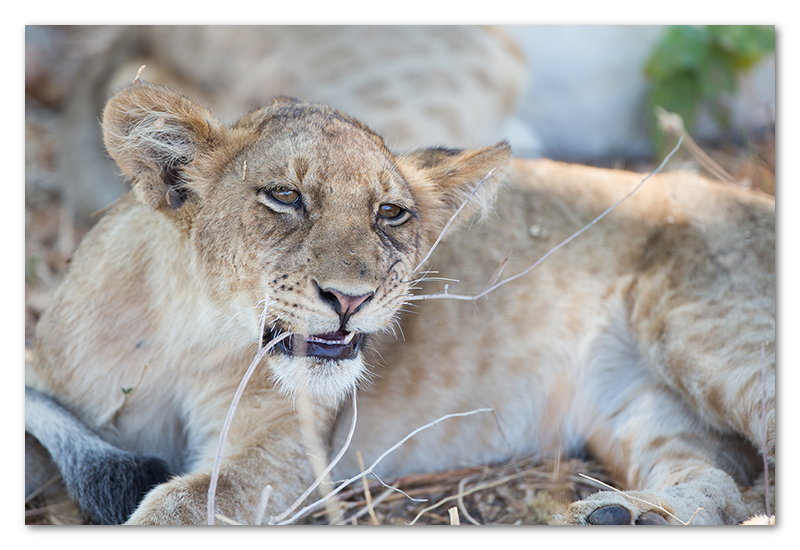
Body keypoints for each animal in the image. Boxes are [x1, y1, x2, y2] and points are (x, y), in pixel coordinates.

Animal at [26, 81, 776, 528]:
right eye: (285, 197)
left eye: (390, 212)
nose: (350, 299)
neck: (187, 334)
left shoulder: (285, 455)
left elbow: (180, 506)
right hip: (636, 402)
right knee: (716, 475)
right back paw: (629, 516)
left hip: (711, 338)